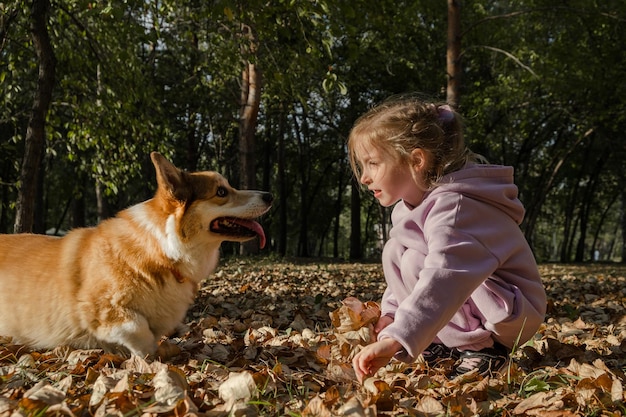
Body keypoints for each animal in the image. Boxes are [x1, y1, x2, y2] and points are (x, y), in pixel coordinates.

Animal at [0, 151, 270, 356]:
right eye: (221, 192)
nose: (269, 195)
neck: (161, 250)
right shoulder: (97, 308)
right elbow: (138, 328)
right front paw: (146, 358)